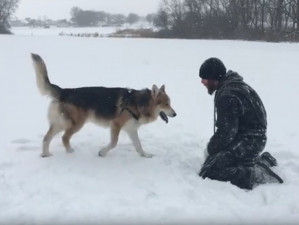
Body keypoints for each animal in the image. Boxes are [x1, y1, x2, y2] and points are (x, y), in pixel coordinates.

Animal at [31, 53, 176, 157]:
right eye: (166, 104)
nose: (175, 114)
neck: (139, 103)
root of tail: (65, 91)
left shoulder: (131, 130)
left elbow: (139, 146)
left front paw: (145, 155)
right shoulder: (116, 125)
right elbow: (113, 143)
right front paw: (102, 152)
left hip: (60, 123)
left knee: (46, 138)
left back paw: (46, 154)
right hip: (75, 124)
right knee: (64, 137)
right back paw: (70, 152)